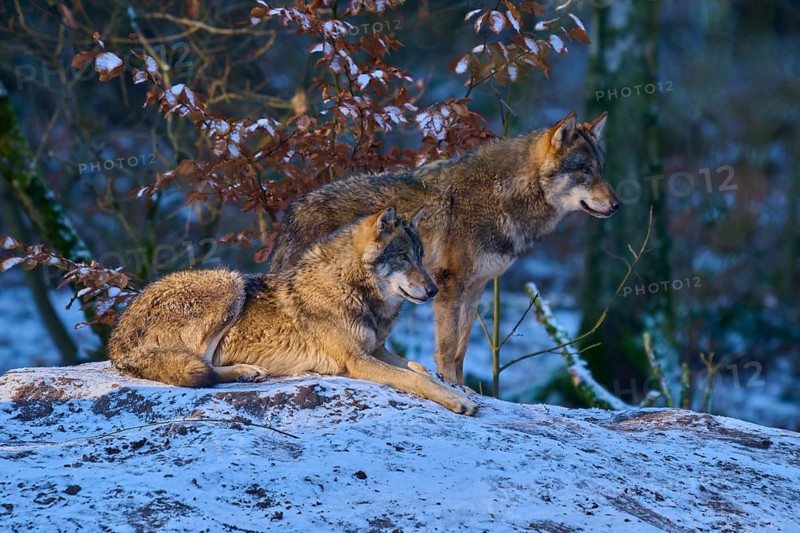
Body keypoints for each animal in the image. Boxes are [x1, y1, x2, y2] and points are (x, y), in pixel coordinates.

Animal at [108, 208, 478, 415]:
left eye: (421, 256)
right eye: (403, 257)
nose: (433, 290)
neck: (351, 287)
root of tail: (117, 340)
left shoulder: (376, 349)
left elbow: (420, 368)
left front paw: (460, 389)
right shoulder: (357, 361)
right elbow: (415, 378)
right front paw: (458, 400)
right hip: (229, 282)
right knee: (201, 368)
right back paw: (244, 371)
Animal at [269, 112, 619, 385]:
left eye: (601, 168)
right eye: (584, 170)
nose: (618, 205)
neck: (504, 196)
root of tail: (292, 211)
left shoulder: (477, 286)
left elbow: (462, 350)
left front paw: (463, 388)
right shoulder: (450, 284)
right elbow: (447, 348)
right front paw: (451, 385)